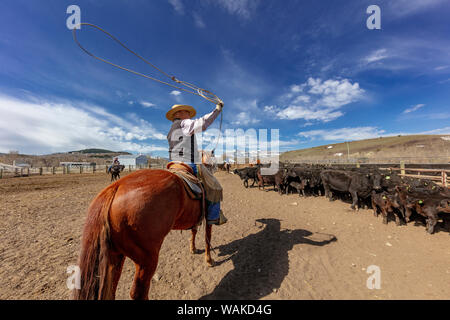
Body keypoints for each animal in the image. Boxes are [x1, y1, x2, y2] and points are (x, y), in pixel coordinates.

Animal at [73, 170, 214, 300]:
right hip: (146, 260)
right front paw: (209, 259)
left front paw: (193, 248)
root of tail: (115, 187)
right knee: (138, 293)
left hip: (115, 257)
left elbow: (194, 232)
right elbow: (208, 237)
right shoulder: (210, 216)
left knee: (111, 292)